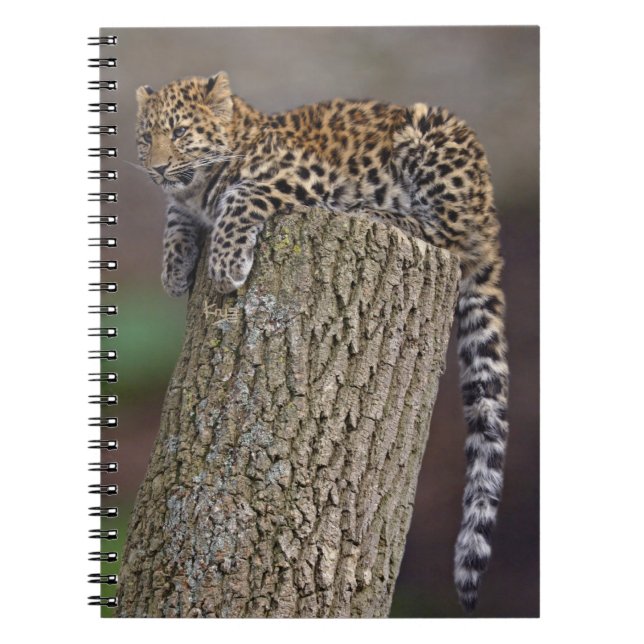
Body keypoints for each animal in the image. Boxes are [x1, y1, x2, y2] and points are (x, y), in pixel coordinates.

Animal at [135, 72, 509, 613]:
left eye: (181, 132)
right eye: (147, 139)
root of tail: (490, 209)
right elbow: (174, 216)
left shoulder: (299, 176)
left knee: (449, 236)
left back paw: (377, 211)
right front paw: (175, 269)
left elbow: (239, 197)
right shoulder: (184, 202)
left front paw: (224, 265)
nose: (158, 166)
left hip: (430, 136)